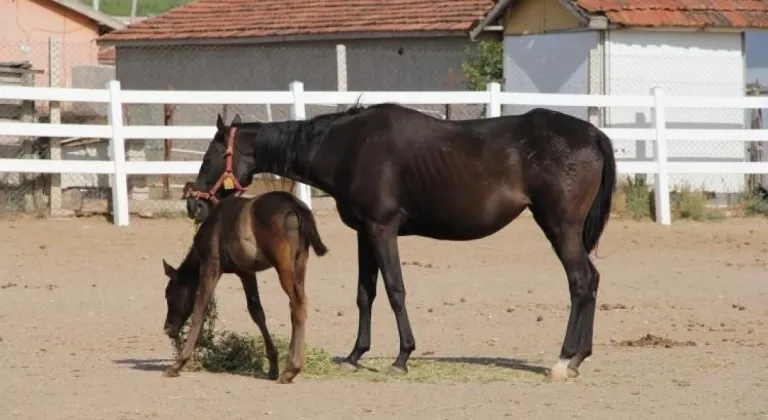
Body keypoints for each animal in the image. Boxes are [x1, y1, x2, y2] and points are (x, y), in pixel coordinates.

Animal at [160, 191, 328, 384]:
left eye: (169, 295)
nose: (168, 328)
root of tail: (295, 206)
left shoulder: (211, 266)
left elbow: (199, 310)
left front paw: (178, 363)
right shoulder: (246, 273)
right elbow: (256, 312)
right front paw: (272, 365)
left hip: (283, 264)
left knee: (297, 303)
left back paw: (291, 369)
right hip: (300, 261)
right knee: (297, 303)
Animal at [186, 104, 616, 380]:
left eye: (210, 157)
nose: (193, 203)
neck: (348, 146)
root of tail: (592, 134)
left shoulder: (382, 229)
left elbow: (395, 289)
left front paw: (402, 356)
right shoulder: (364, 232)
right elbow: (365, 294)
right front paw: (355, 355)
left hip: (559, 226)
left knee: (580, 282)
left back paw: (563, 360)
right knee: (592, 281)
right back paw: (579, 358)